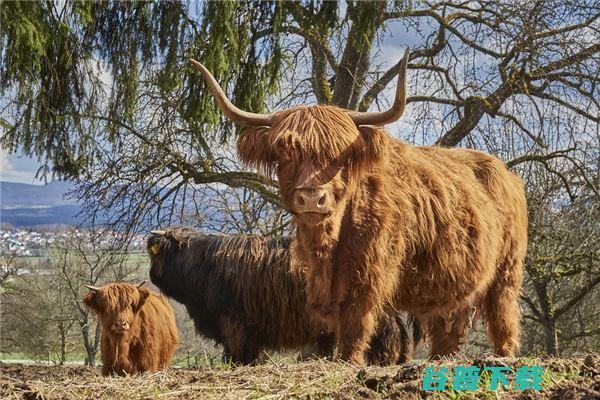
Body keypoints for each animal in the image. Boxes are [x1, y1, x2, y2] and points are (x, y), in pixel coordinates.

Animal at [190, 47, 528, 366]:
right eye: (285, 151)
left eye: (340, 154)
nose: (312, 197)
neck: (331, 240)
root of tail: (507, 173)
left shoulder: (371, 268)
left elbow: (357, 317)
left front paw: (349, 359)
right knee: (449, 325)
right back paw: (440, 359)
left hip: (507, 270)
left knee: (504, 315)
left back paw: (503, 356)